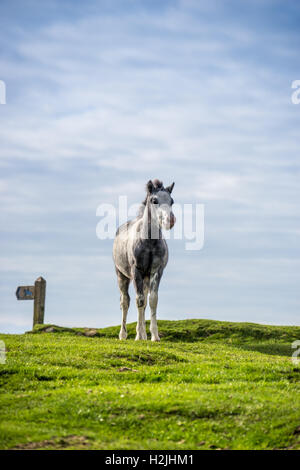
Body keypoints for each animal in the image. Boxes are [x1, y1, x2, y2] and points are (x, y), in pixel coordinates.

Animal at [113, 180, 177, 342]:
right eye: (154, 200)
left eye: (171, 201)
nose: (170, 220)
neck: (149, 242)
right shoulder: (136, 272)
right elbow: (139, 300)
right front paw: (140, 335)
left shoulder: (156, 272)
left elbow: (152, 300)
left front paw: (154, 336)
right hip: (121, 275)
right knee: (126, 301)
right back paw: (124, 335)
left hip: (146, 278)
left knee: (145, 302)